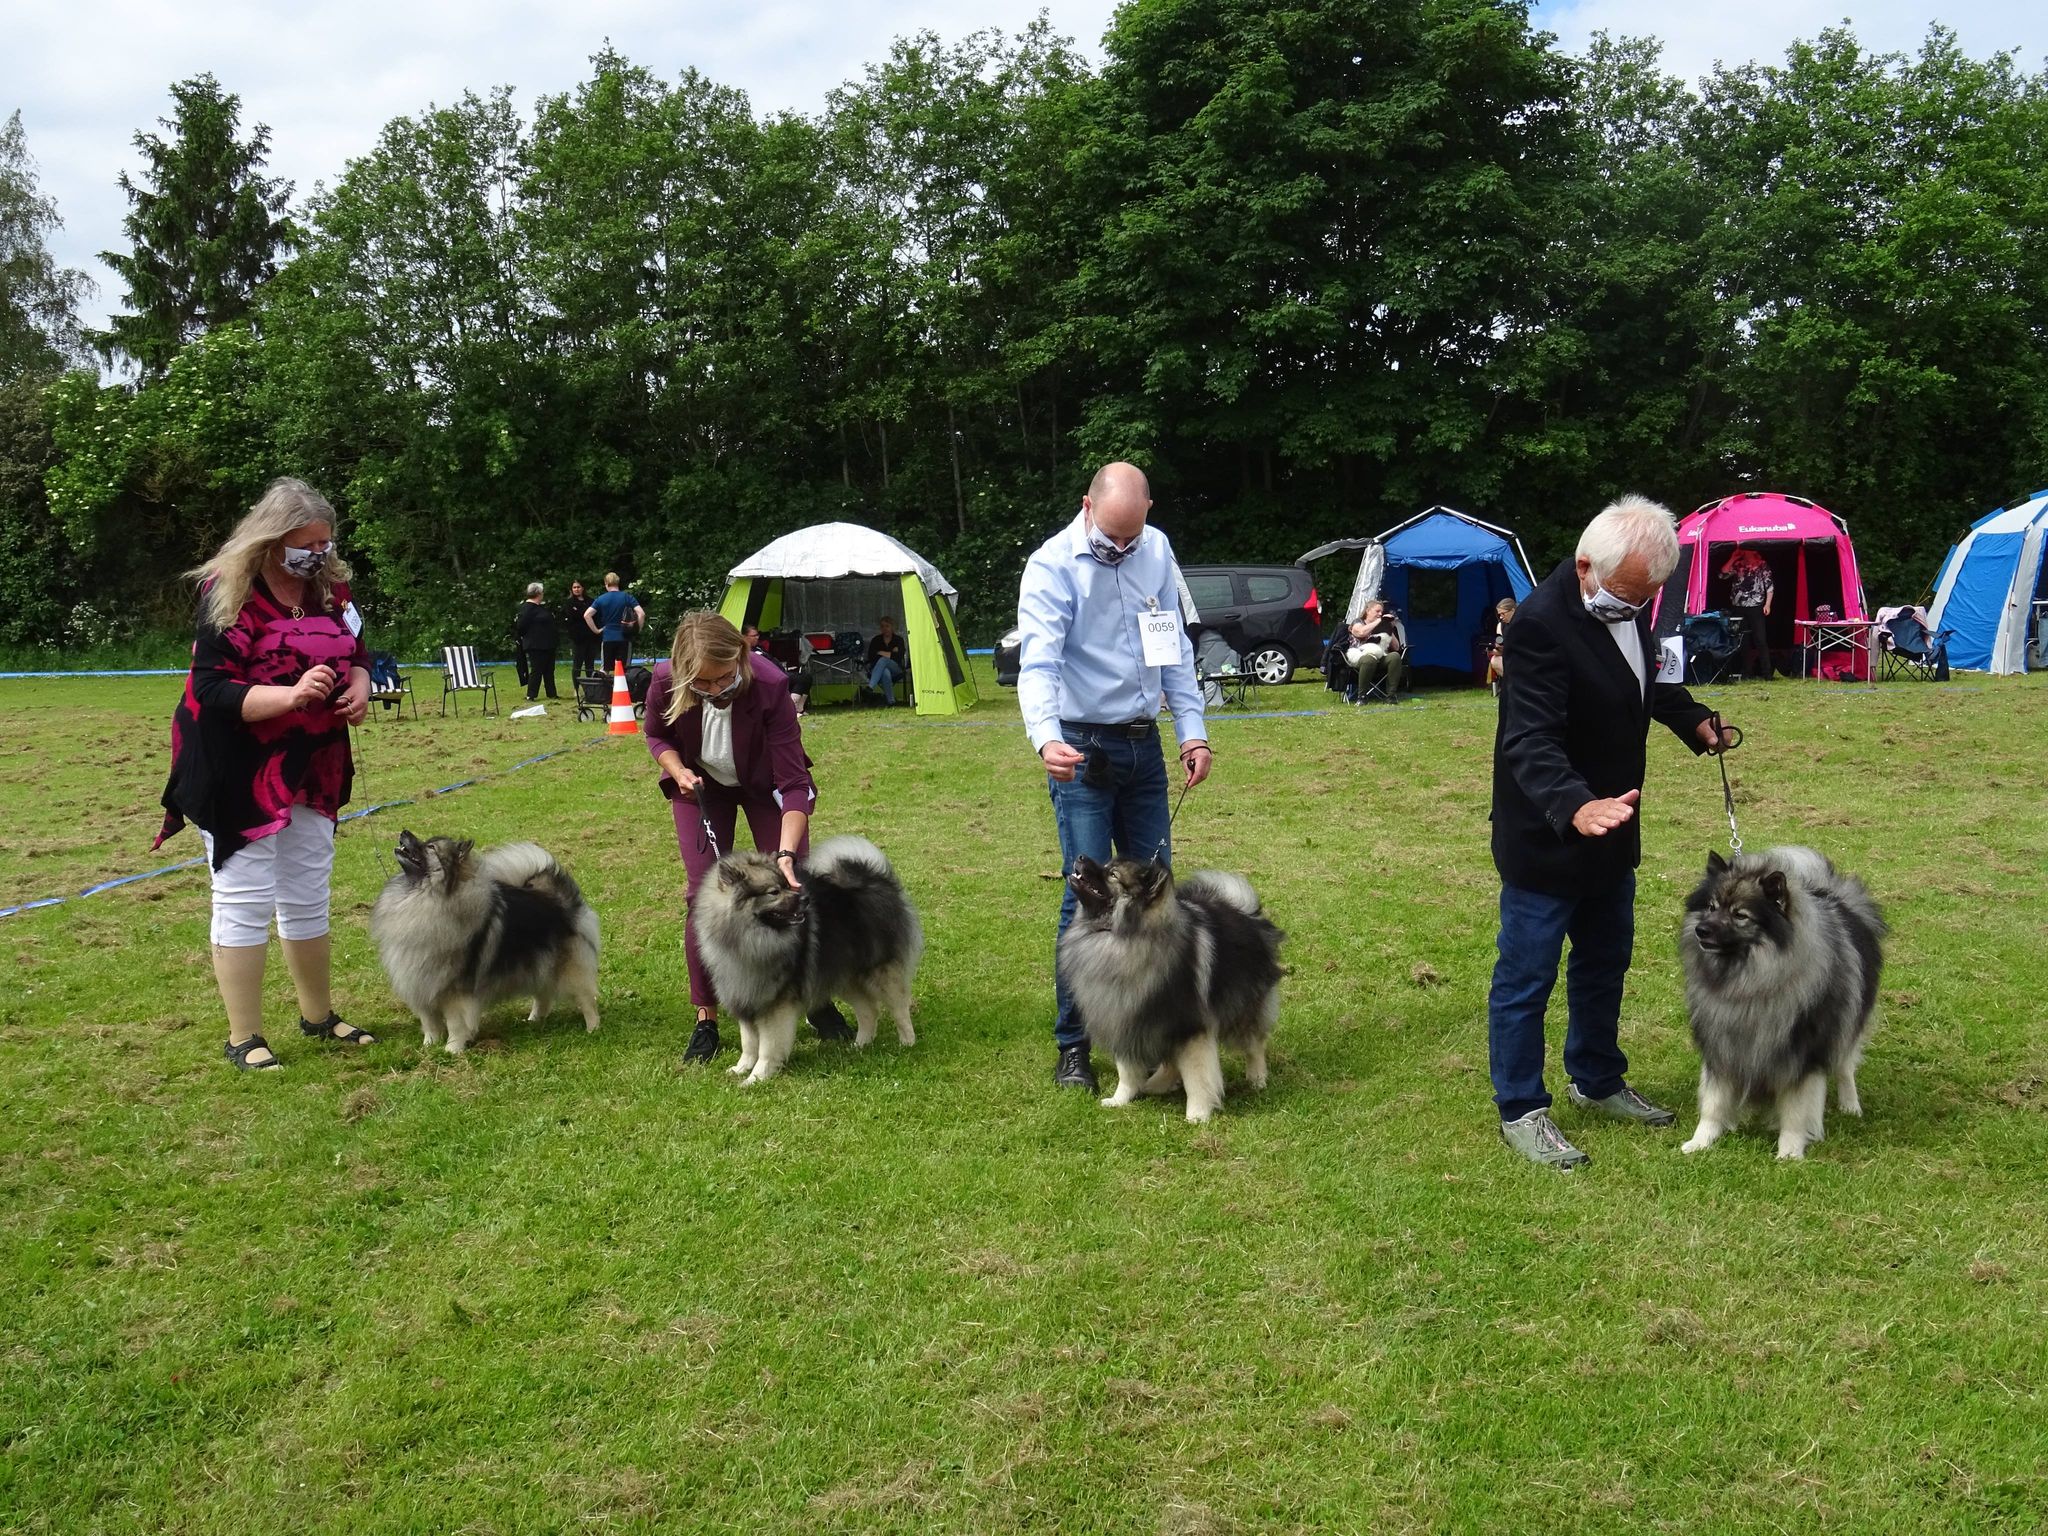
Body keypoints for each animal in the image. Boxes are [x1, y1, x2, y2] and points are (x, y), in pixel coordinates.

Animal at [368, 831, 598, 1056]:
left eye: (431, 847)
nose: (404, 832)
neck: (424, 896)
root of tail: (558, 898)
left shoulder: (454, 991)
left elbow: (455, 1023)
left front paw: (452, 1049)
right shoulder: (421, 986)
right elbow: (430, 1023)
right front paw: (429, 1045)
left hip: (569, 969)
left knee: (586, 999)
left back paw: (592, 1028)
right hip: (538, 963)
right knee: (544, 994)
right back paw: (534, 1020)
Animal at [692, 843, 925, 1081]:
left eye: (787, 885)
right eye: (774, 892)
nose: (804, 899)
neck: (744, 940)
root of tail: (873, 879)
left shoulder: (774, 1004)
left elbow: (767, 1047)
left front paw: (756, 1077)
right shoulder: (745, 995)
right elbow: (748, 1042)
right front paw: (741, 1069)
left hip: (879, 972)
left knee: (899, 1008)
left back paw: (907, 1042)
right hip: (845, 976)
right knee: (869, 1010)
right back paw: (860, 1044)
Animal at [1056, 860, 1277, 1122]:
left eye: (1113, 874)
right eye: (1108, 865)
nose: (1080, 857)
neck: (1116, 936)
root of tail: (1244, 912)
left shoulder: (1190, 1028)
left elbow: (1197, 1076)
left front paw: (1197, 1114)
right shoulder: (1124, 1017)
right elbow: (1127, 1071)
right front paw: (1120, 1100)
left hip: (1241, 1006)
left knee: (1254, 1043)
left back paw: (1257, 1078)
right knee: (1171, 1061)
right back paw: (1156, 1084)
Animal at [1679, 847, 1884, 1163]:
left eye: (1740, 915)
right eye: (1711, 907)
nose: (1701, 930)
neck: (1747, 985)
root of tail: (1830, 890)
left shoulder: (1801, 1057)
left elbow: (1796, 1112)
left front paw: (1789, 1152)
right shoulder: (1722, 1048)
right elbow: (1714, 1102)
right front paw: (1701, 1141)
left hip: (1847, 1024)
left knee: (1844, 1066)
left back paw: (1850, 1105)